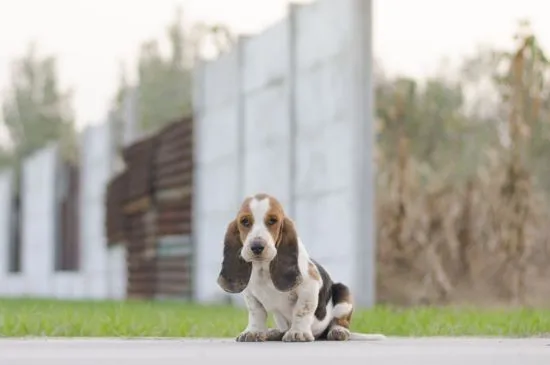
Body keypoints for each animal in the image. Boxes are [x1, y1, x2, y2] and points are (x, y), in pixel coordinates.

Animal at [218, 193, 386, 342]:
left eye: (273, 221)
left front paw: (297, 333)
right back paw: (273, 332)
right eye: (245, 221)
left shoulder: (309, 286)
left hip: (343, 295)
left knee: (340, 322)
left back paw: (338, 331)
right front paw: (253, 332)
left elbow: (301, 311)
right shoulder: (250, 294)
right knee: (281, 328)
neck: (263, 269)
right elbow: (256, 313)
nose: (257, 246)